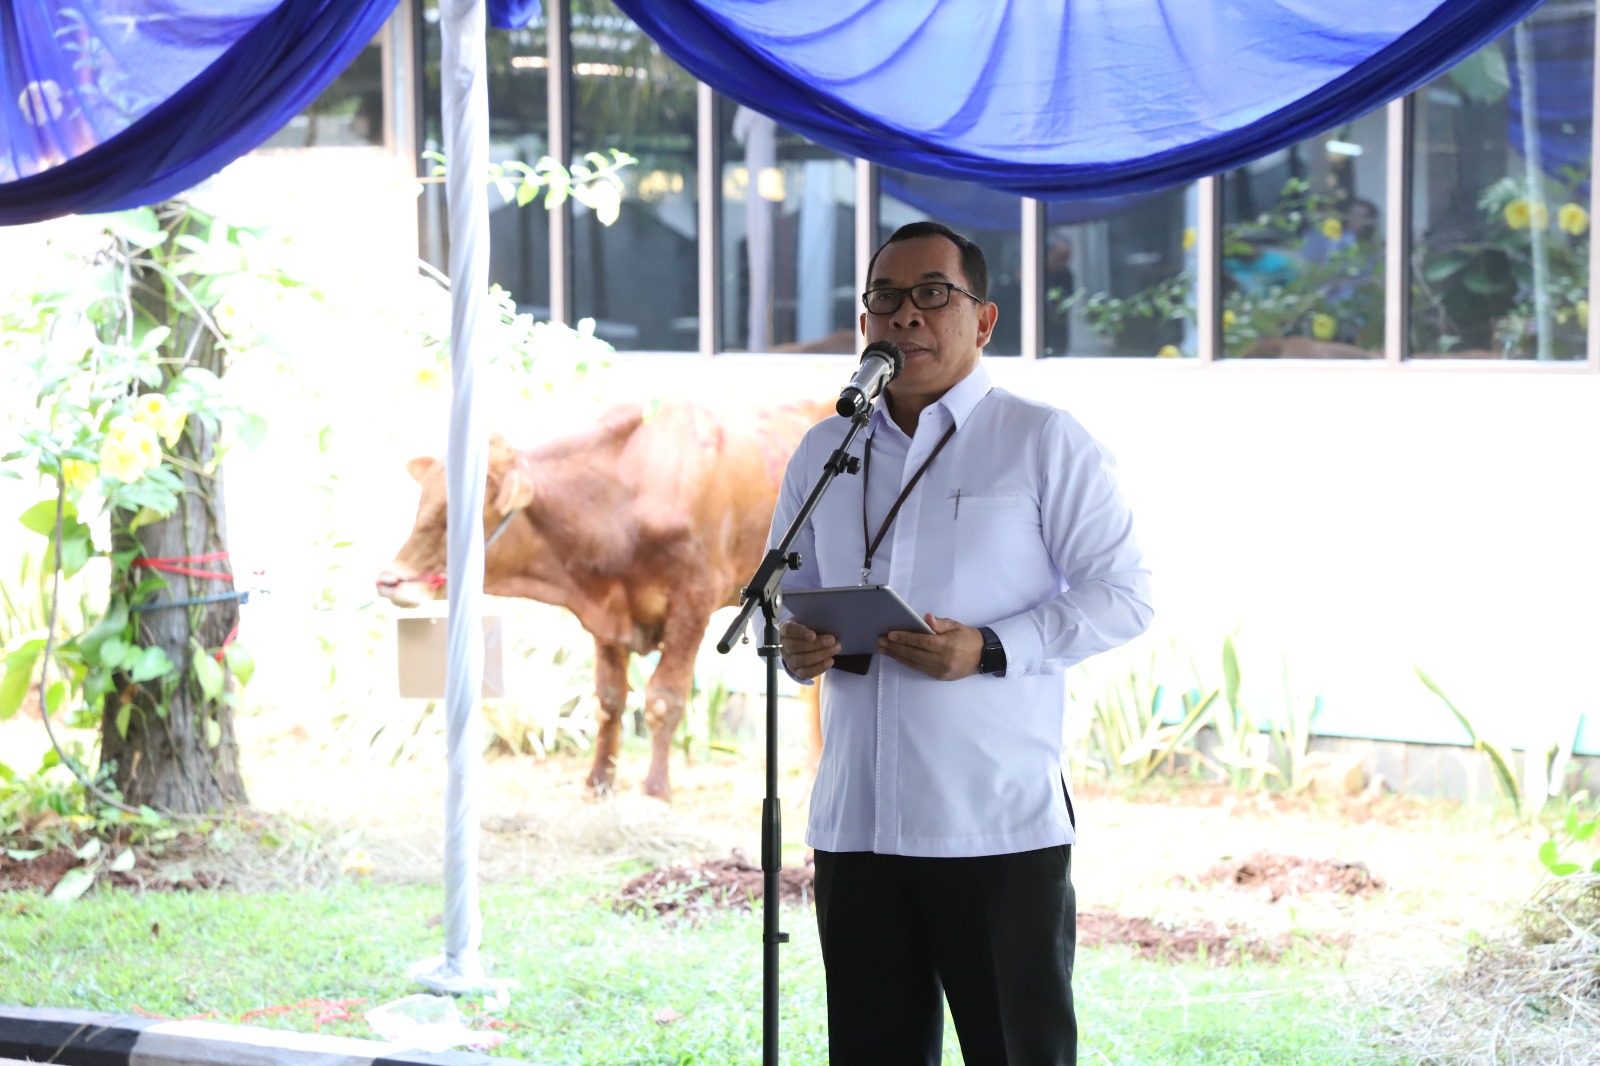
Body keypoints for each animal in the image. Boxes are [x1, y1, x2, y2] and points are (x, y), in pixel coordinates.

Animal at [372, 398, 825, 797]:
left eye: (467, 512)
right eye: (424, 502)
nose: (390, 580)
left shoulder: (693, 604)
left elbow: (664, 698)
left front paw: (655, 789)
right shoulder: (607, 618)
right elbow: (609, 699)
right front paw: (598, 781)